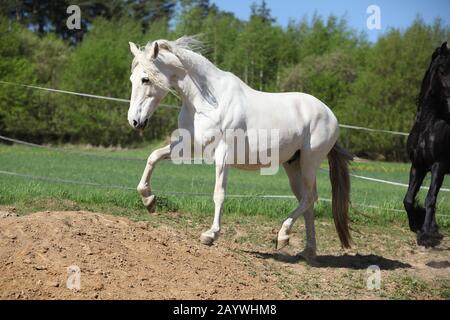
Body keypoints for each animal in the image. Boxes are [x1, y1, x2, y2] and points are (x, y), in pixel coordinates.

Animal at [126, 36, 352, 256]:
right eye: (132, 79)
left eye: (145, 79)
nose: (135, 121)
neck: (207, 102)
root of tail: (330, 115)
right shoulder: (191, 146)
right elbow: (154, 156)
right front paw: (148, 200)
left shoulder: (223, 154)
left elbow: (219, 193)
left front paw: (210, 235)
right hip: (293, 165)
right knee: (307, 201)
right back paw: (305, 248)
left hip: (309, 163)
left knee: (309, 198)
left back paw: (283, 234)